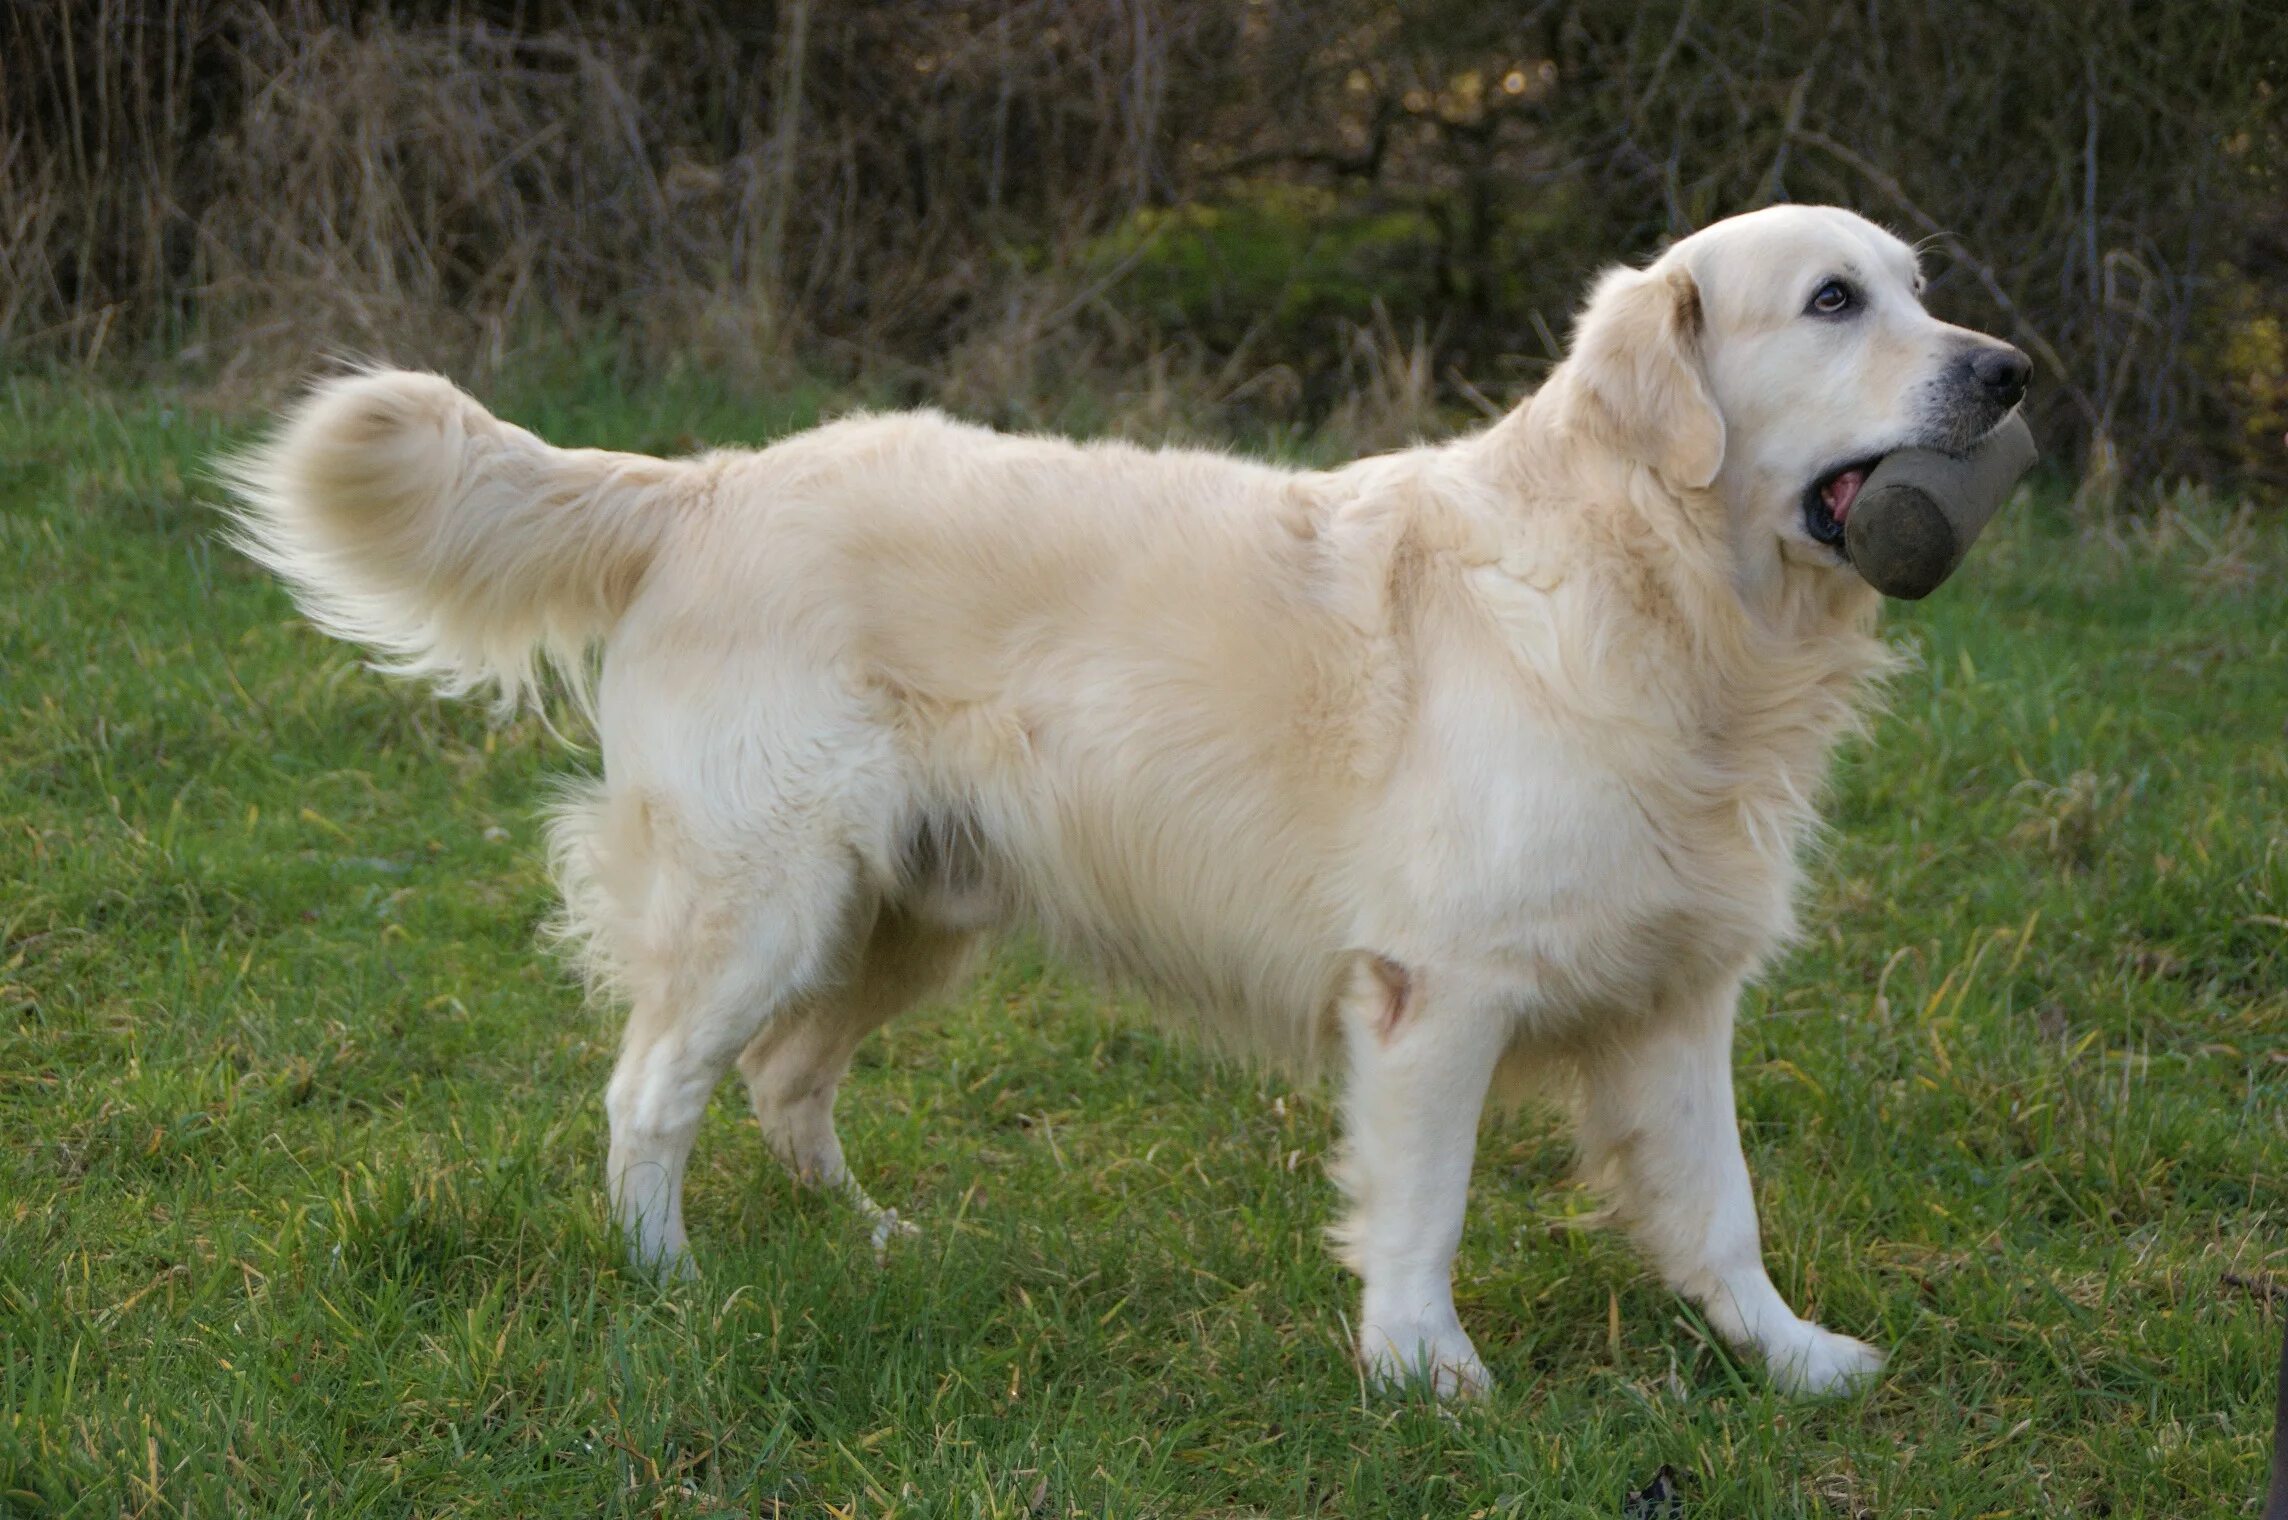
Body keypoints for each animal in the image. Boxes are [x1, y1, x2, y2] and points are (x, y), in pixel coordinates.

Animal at [223, 201, 2031, 1400]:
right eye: (1831, 301)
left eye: (1920, 290)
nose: (2010, 372)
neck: (1662, 598)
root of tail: (712, 481)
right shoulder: (1433, 992)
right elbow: (1423, 1207)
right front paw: (1423, 1377)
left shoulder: (1677, 996)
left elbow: (1719, 1209)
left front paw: (1792, 1359)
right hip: (766, 895)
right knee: (651, 1090)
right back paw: (671, 1283)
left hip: (905, 914)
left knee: (789, 1083)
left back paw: (868, 1238)